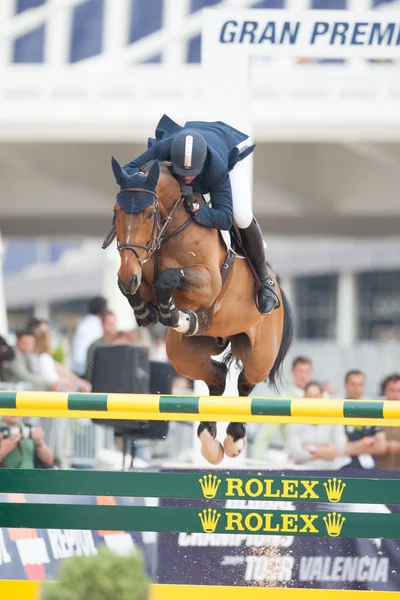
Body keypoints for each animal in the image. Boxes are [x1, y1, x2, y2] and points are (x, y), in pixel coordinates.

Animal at [106, 158, 294, 464]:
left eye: (149, 214)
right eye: (116, 212)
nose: (127, 276)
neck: (170, 229)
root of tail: (276, 283)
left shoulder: (207, 283)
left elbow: (167, 278)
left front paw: (172, 312)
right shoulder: (137, 271)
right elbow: (136, 290)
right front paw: (149, 312)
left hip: (259, 354)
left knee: (245, 383)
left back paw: (233, 441)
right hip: (184, 354)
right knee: (217, 376)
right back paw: (209, 443)